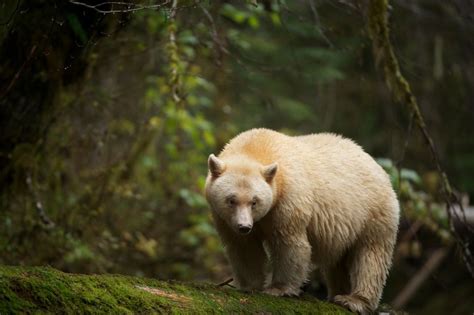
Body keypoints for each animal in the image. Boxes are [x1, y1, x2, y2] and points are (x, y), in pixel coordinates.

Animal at [205, 128, 400, 314]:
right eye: (231, 200)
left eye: (254, 201)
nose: (244, 226)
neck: (258, 147)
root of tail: (378, 167)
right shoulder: (224, 218)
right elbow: (244, 247)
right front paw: (249, 285)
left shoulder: (289, 199)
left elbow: (289, 243)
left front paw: (278, 289)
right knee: (338, 263)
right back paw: (337, 293)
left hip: (372, 211)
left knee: (370, 256)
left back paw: (354, 300)